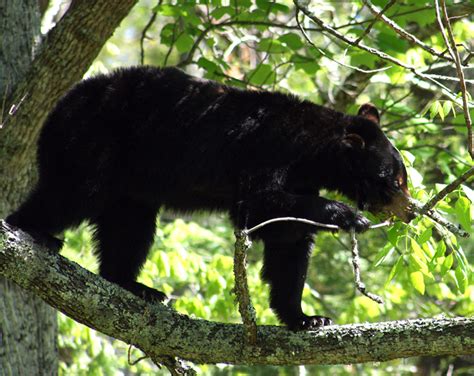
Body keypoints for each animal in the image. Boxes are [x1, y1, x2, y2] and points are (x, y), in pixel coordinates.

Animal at [8, 67, 414, 328]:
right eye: (395, 180)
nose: (410, 212)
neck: (311, 151)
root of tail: (57, 108)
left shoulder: (300, 178)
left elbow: (289, 246)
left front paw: (306, 317)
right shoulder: (267, 151)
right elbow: (259, 207)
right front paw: (346, 215)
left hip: (130, 183)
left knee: (129, 228)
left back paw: (135, 285)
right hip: (93, 141)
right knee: (72, 192)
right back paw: (32, 230)